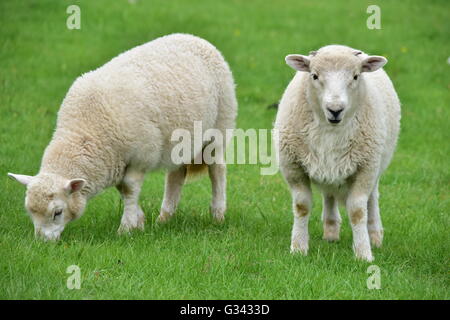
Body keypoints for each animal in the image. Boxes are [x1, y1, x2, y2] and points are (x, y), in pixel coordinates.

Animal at [7, 33, 239, 241]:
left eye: (57, 213)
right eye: (30, 212)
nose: (42, 243)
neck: (85, 130)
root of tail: (195, 38)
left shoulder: (140, 155)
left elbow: (128, 188)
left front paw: (126, 228)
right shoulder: (118, 159)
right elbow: (123, 189)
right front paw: (139, 221)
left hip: (220, 124)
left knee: (217, 169)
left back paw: (217, 214)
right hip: (182, 139)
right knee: (176, 174)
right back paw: (164, 218)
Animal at [274, 45, 400, 262]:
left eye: (356, 76)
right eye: (314, 76)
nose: (335, 109)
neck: (330, 130)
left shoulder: (366, 168)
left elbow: (358, 211)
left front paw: (363, 254)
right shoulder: (293, 166)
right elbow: (301, 206)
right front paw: (298, 248)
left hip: (377, 165)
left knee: (372, 199)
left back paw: (375, 236)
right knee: (330, 194)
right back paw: (331, 232)